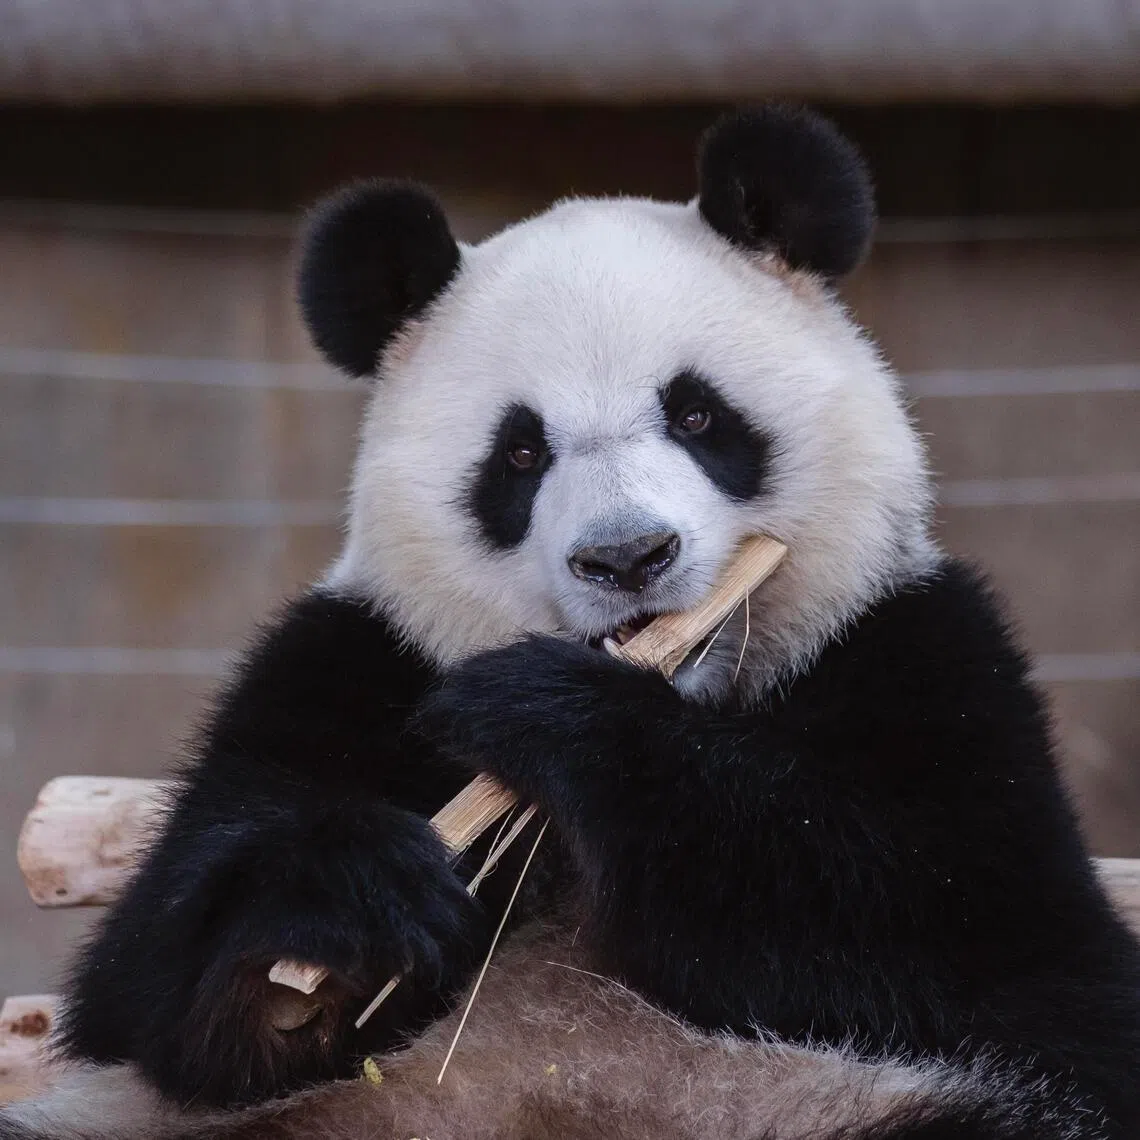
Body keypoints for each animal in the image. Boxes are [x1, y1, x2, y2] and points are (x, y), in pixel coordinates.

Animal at [4, 105, 1140, 1140]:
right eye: (520, 454)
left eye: (697, 414)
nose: (627, 558)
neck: (690, 690)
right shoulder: (345, 665)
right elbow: (140, 988)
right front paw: (334, 923)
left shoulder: (919, 651)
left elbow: (989, 944)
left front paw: (554, 712)